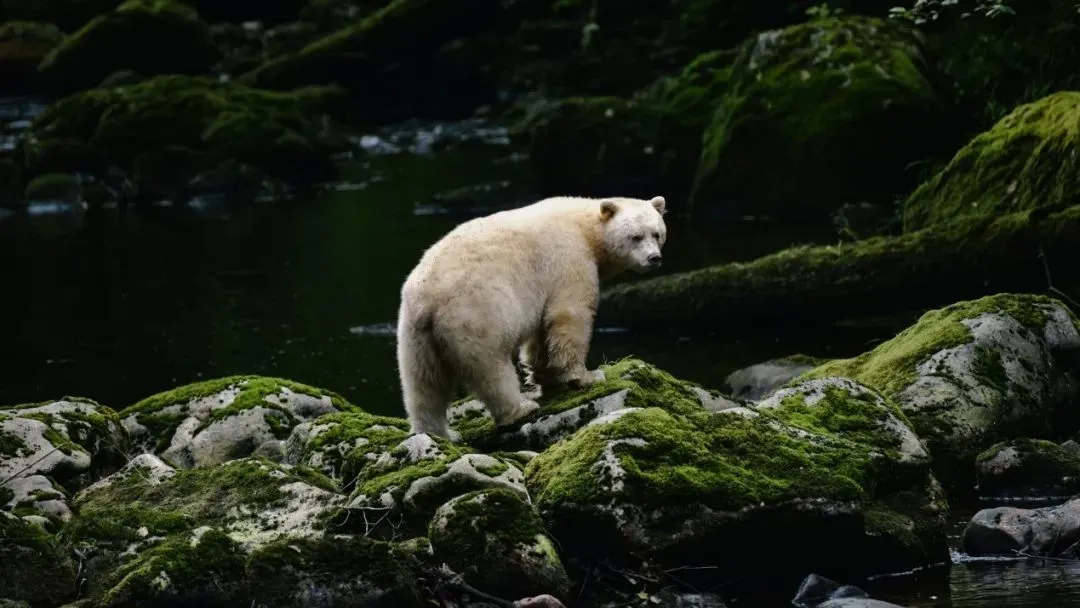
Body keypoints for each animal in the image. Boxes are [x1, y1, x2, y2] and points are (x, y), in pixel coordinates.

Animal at [397, 197, 665, 440]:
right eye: (635, 236)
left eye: (657, 233)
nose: (654, 258)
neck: (586, 229)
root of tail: (427, 298)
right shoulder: (570, 259)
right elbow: (569, 314)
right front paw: (586, 377)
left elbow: (540, 333)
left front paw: (547, 377)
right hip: (475, 313)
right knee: (490, 366)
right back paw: (519, 410)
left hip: (415, 333)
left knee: (423, 382)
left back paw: (437, 432)